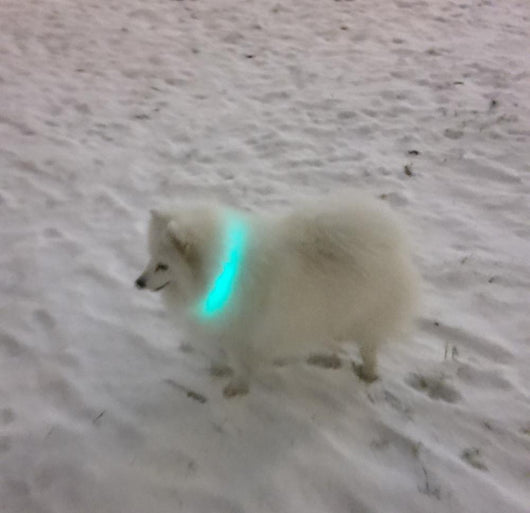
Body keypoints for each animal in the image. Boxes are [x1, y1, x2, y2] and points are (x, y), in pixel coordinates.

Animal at [135, 193, 420, 397]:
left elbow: (239, 362)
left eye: (163, 266)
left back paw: (368, 373)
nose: (138, 282)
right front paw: (220, 368)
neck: (215, 273)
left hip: (362, 319)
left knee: (369, 347)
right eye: (150, 258)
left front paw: (236, 387)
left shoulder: (241, 331)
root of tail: (385, 242)